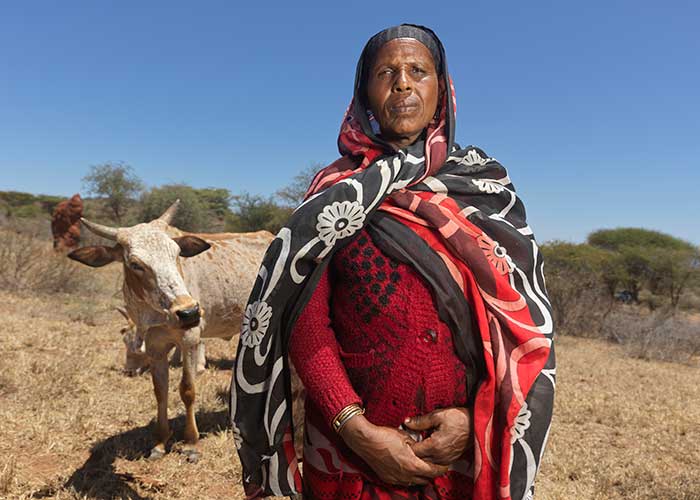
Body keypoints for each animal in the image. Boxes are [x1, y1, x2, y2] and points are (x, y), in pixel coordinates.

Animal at [68, 201, 274, 462]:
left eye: (176, 254)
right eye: (135, 264)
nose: (189, 312)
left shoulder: (190, 339)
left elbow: (187, 390)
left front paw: (191, 443)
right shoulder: (155, 348)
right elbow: (160, 391)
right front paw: (160, 442)